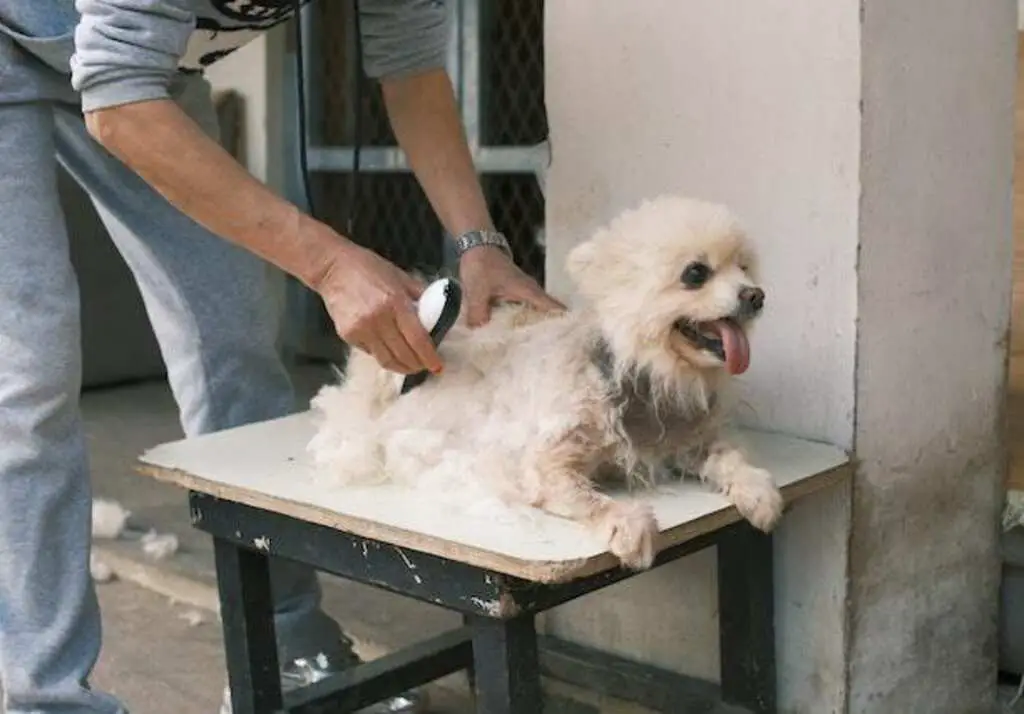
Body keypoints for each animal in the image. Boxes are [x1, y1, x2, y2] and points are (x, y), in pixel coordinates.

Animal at [303, 193, 782, 569]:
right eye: (695, 274)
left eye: (744, 267)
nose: (756, 295)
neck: (639, 376)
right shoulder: (545, 465)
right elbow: (589, 498)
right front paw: (628, 524)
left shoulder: (685, 439)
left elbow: (728, 456)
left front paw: (759, 491)